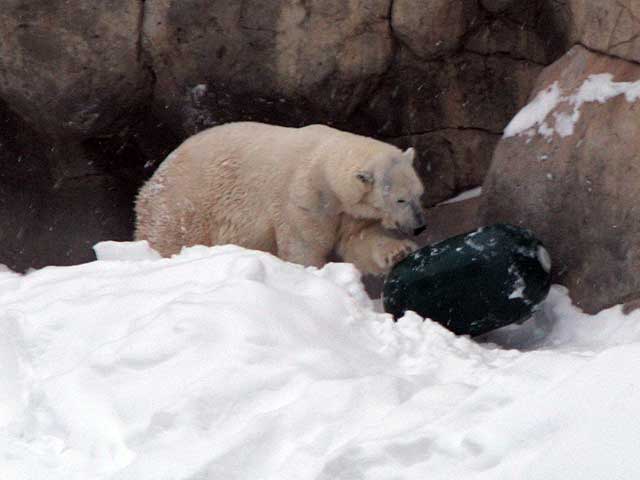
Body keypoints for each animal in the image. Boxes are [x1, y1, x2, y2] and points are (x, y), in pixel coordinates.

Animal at [134, 122, 424, 274]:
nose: (421, 226)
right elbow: (304, 247)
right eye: (400, 199)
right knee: (170, 237)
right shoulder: (302, 199)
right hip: (184, 204)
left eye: (419, 194)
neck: (323, 167)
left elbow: (360, 239)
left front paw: (399, 250)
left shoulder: (348, 211)